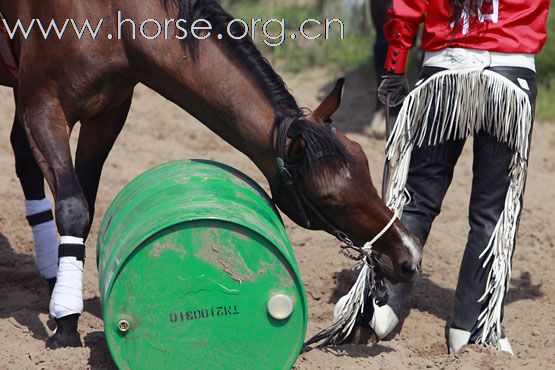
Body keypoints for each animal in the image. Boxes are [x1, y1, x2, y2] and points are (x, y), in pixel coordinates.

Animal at [0, 0, 420, 348]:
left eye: (364, 163)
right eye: (329, 198)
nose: (409, 254)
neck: (110, 20)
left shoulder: (107, 114)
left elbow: (83, 201)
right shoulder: (42, 107)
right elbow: (73, 208)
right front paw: (65, 324)